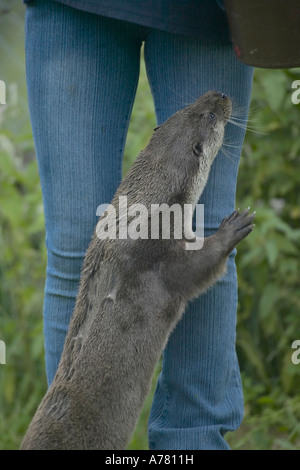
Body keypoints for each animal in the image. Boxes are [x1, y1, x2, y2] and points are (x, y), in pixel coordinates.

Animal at [21, 90, 255, 450]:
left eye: (190, 106)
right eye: (211, 117)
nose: (219, 95)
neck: (142, 207)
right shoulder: (156, 254)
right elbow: (192, 270)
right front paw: (232, 228)